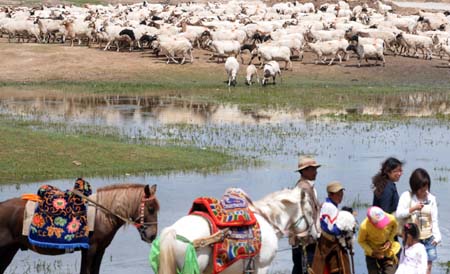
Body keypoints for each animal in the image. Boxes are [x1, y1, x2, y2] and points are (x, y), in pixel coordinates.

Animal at [0, 181, 160, 272]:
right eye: (151, 208)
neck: (101, 215)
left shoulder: (100, 250)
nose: (152, 235)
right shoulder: (90, 250)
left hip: (9, 250)